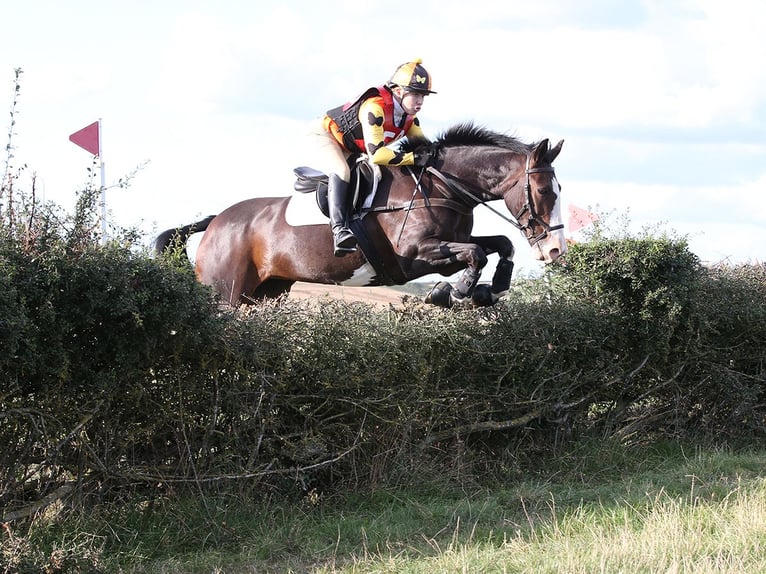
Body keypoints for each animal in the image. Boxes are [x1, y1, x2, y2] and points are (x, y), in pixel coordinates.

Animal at [156, 123, 568, 308]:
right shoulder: (414, 258)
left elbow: (500, 244)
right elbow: (477, 254)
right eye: (545, 191)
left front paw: (490, 289)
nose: (555, 251)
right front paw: (450, 293)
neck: (441, 187)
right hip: (223, 294)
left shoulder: (451, 243)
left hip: (266, 293)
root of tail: (215, 221)